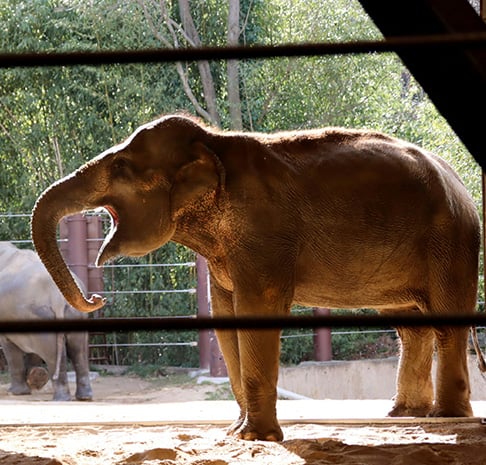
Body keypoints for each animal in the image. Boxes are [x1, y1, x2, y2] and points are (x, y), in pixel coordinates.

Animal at [0, 241, 93, 400]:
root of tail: (57, 296)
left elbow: (11, 350)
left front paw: (17, 392)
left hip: (42, 314)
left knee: (53, 353)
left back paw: (60, 399)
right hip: (75, 313)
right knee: (79, 350)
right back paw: (84, 397)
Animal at [31, 112, 482, 438]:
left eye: (122, 166)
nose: (97, 299)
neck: (214, 142)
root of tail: (459, 182)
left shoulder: (263, 234)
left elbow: (256, 309)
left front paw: (256, 438)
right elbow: (224, 315)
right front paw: (235, 433)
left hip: (451, 243)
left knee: (445, 324)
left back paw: (446, 418)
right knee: (410, 327)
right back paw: (403, 413)